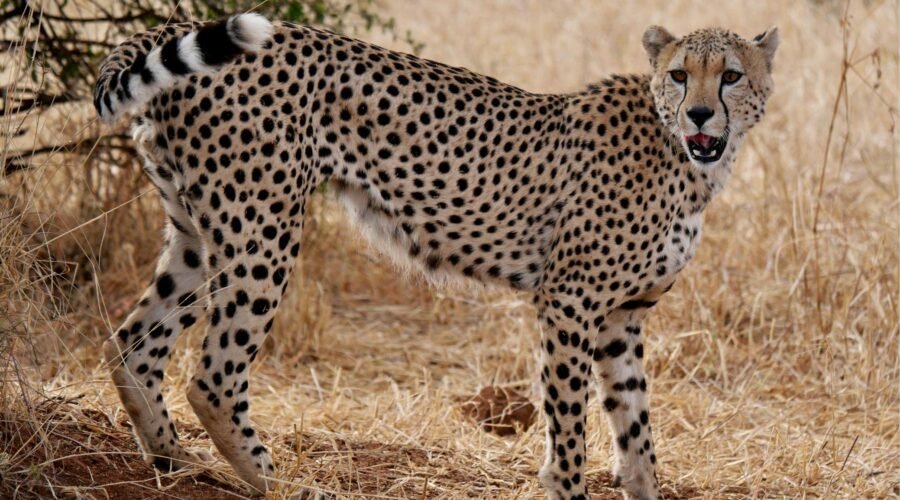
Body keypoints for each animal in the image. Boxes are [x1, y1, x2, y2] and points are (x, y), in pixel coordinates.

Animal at [93, 12, 778, 499]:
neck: (687, 157)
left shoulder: (621, 317)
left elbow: (636, 431)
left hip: (198, 234)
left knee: (133, 343)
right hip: (261, 232)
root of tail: (169, 25)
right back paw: (280, 483)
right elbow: (569, 426)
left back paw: (173, 460)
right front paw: (566, 485)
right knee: (212, 376)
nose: (700, 114)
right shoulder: (569, 301)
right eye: (680, 74)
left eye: (731, 75)